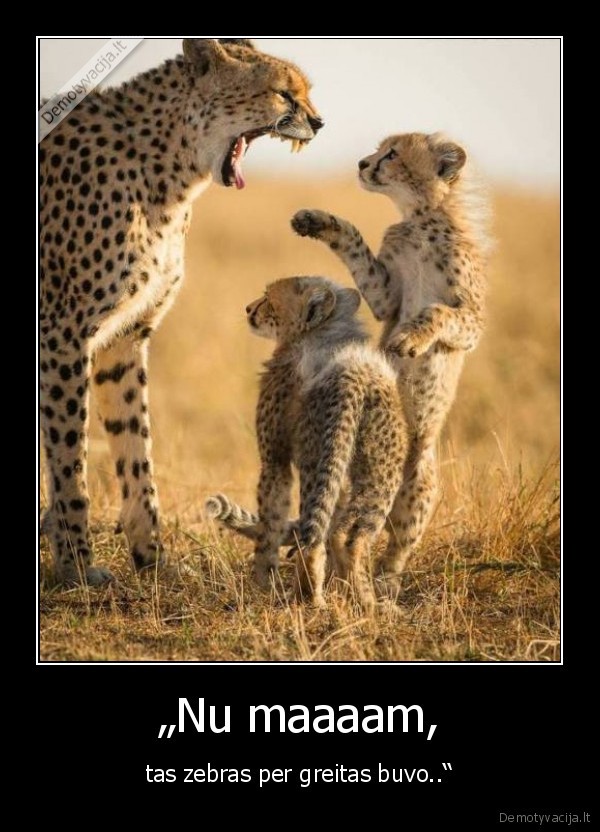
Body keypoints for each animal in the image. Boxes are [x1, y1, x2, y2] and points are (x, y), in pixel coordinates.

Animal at [39, 37, 323, 585]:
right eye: (283, 93)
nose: (319, 123)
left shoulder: (125, 334)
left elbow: (135, 448)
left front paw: (152, 558)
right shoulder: (61, 335)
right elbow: (68, 457)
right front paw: (77, 565)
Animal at [291, 132, 489, 579]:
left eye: (393, 154)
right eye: (380, 150)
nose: (363, 164)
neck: (421, 220)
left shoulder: (473, 320)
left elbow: (437, 313)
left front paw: (409, 340)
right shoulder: (385, 297)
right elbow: (354, 242)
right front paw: (318, 220)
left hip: (417, 482)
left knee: (396, 544)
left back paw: (384, 579)